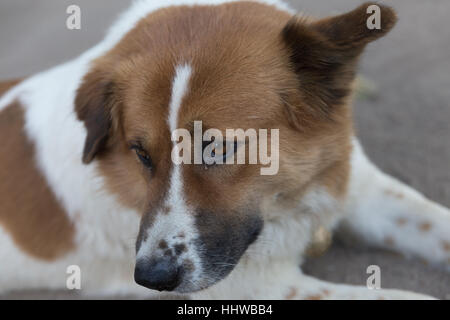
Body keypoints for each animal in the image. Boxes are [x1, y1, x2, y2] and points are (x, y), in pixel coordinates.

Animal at [0, 0, 450, 300]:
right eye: (140, 154)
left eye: (217, 148)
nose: (151, 278)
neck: (289, 199)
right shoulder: (260, 286)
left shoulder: (361, 189)